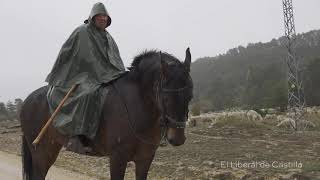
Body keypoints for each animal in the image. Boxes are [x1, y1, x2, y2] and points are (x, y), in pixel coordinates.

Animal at [21, 48, 194, 180]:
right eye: (165, 97)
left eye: (190, 95)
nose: (177, 138)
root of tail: (27, 100)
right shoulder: (117, 159)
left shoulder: (145, 160)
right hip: (40, 153)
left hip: (52, 148)